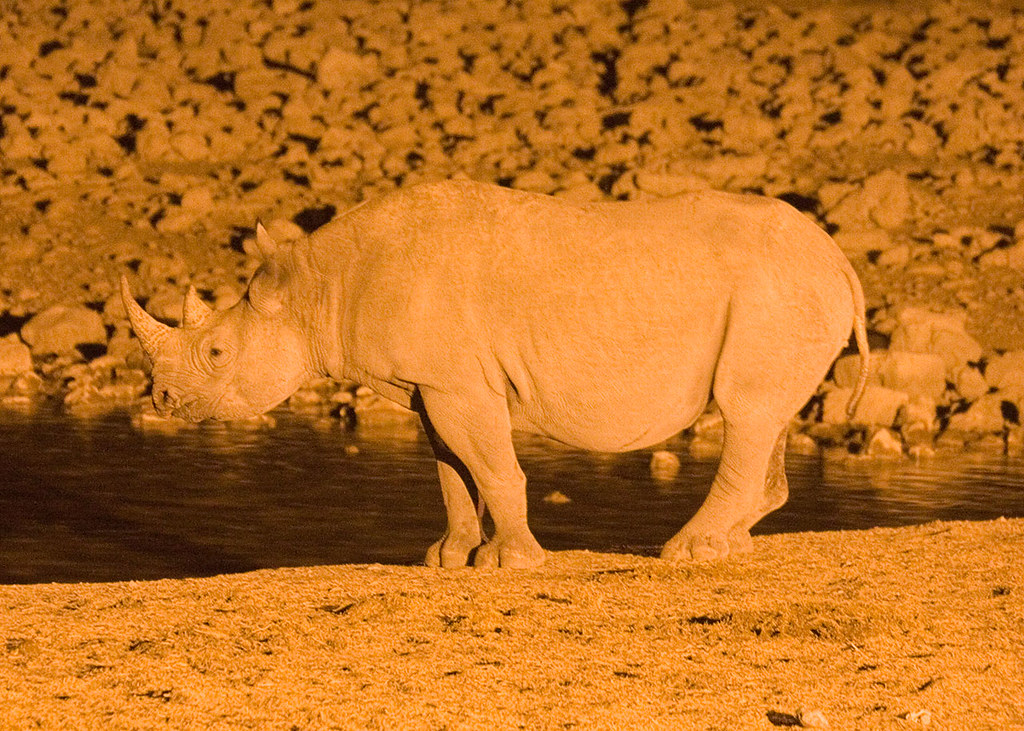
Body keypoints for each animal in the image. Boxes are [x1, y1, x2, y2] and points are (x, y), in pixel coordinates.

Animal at [121, 179, 869, 568]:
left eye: (217, 354)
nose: (162, 397)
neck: (318, 290)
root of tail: (839, 259)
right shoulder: (432, 384)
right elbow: (454, 471)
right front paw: (447, 559)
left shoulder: (455, 383)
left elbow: (494, 468)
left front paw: (515, 563)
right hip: (787, 297)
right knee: (766, 414)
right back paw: (730, 546)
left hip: (776, 292)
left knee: (745, 410)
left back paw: (686, 551)